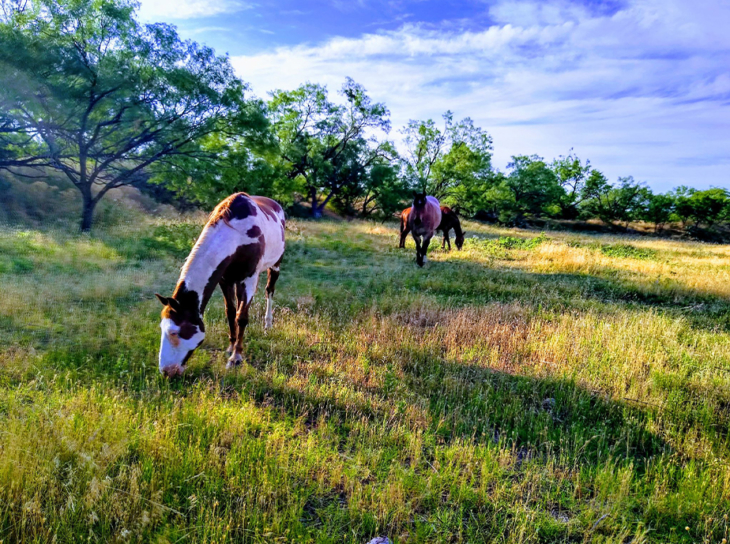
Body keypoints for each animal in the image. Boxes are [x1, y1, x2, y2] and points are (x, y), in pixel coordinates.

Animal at [154, 193, 284, 376]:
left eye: (174, 332)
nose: (167, 371)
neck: (237, 235)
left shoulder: (249, 279)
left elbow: (242, 317)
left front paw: (236, 357)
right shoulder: (224, 280)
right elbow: (230, 312)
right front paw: (231, 347)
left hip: (275, 265)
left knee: (269, 291)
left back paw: (268, 324)